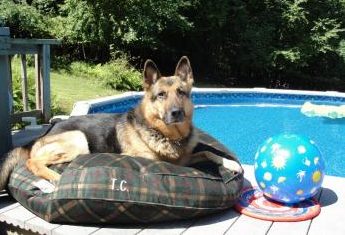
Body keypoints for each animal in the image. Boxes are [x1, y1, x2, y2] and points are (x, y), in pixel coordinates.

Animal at [0, 57, 242, 191]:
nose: (176, 113)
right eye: (161, 95)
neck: (167, 134)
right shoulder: (165, 162)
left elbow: (208, 152)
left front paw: (231, 163)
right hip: (78, 139)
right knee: (32, 162)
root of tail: (36, 139)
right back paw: (55, 177)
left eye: (181, 92)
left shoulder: (186, 156)